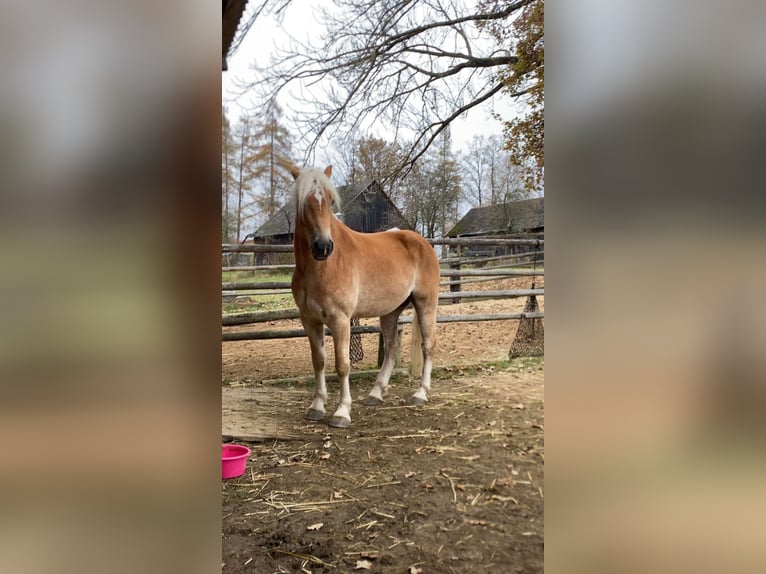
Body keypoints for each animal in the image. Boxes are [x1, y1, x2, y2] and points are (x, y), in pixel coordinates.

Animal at [290, 164, 444, 430]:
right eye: (302, 202)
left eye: (330, 200)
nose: (323, 246)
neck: (321, 268)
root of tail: (422, 242)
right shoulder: (309, 320)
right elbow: (319, 361)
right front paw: (317, 407)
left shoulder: (340, 320)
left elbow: (342, 365)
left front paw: (342, 412)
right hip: (390, 311)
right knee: (391, 348)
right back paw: (376, 393)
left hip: (426, 304)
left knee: (428, 345)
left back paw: (421, 394)